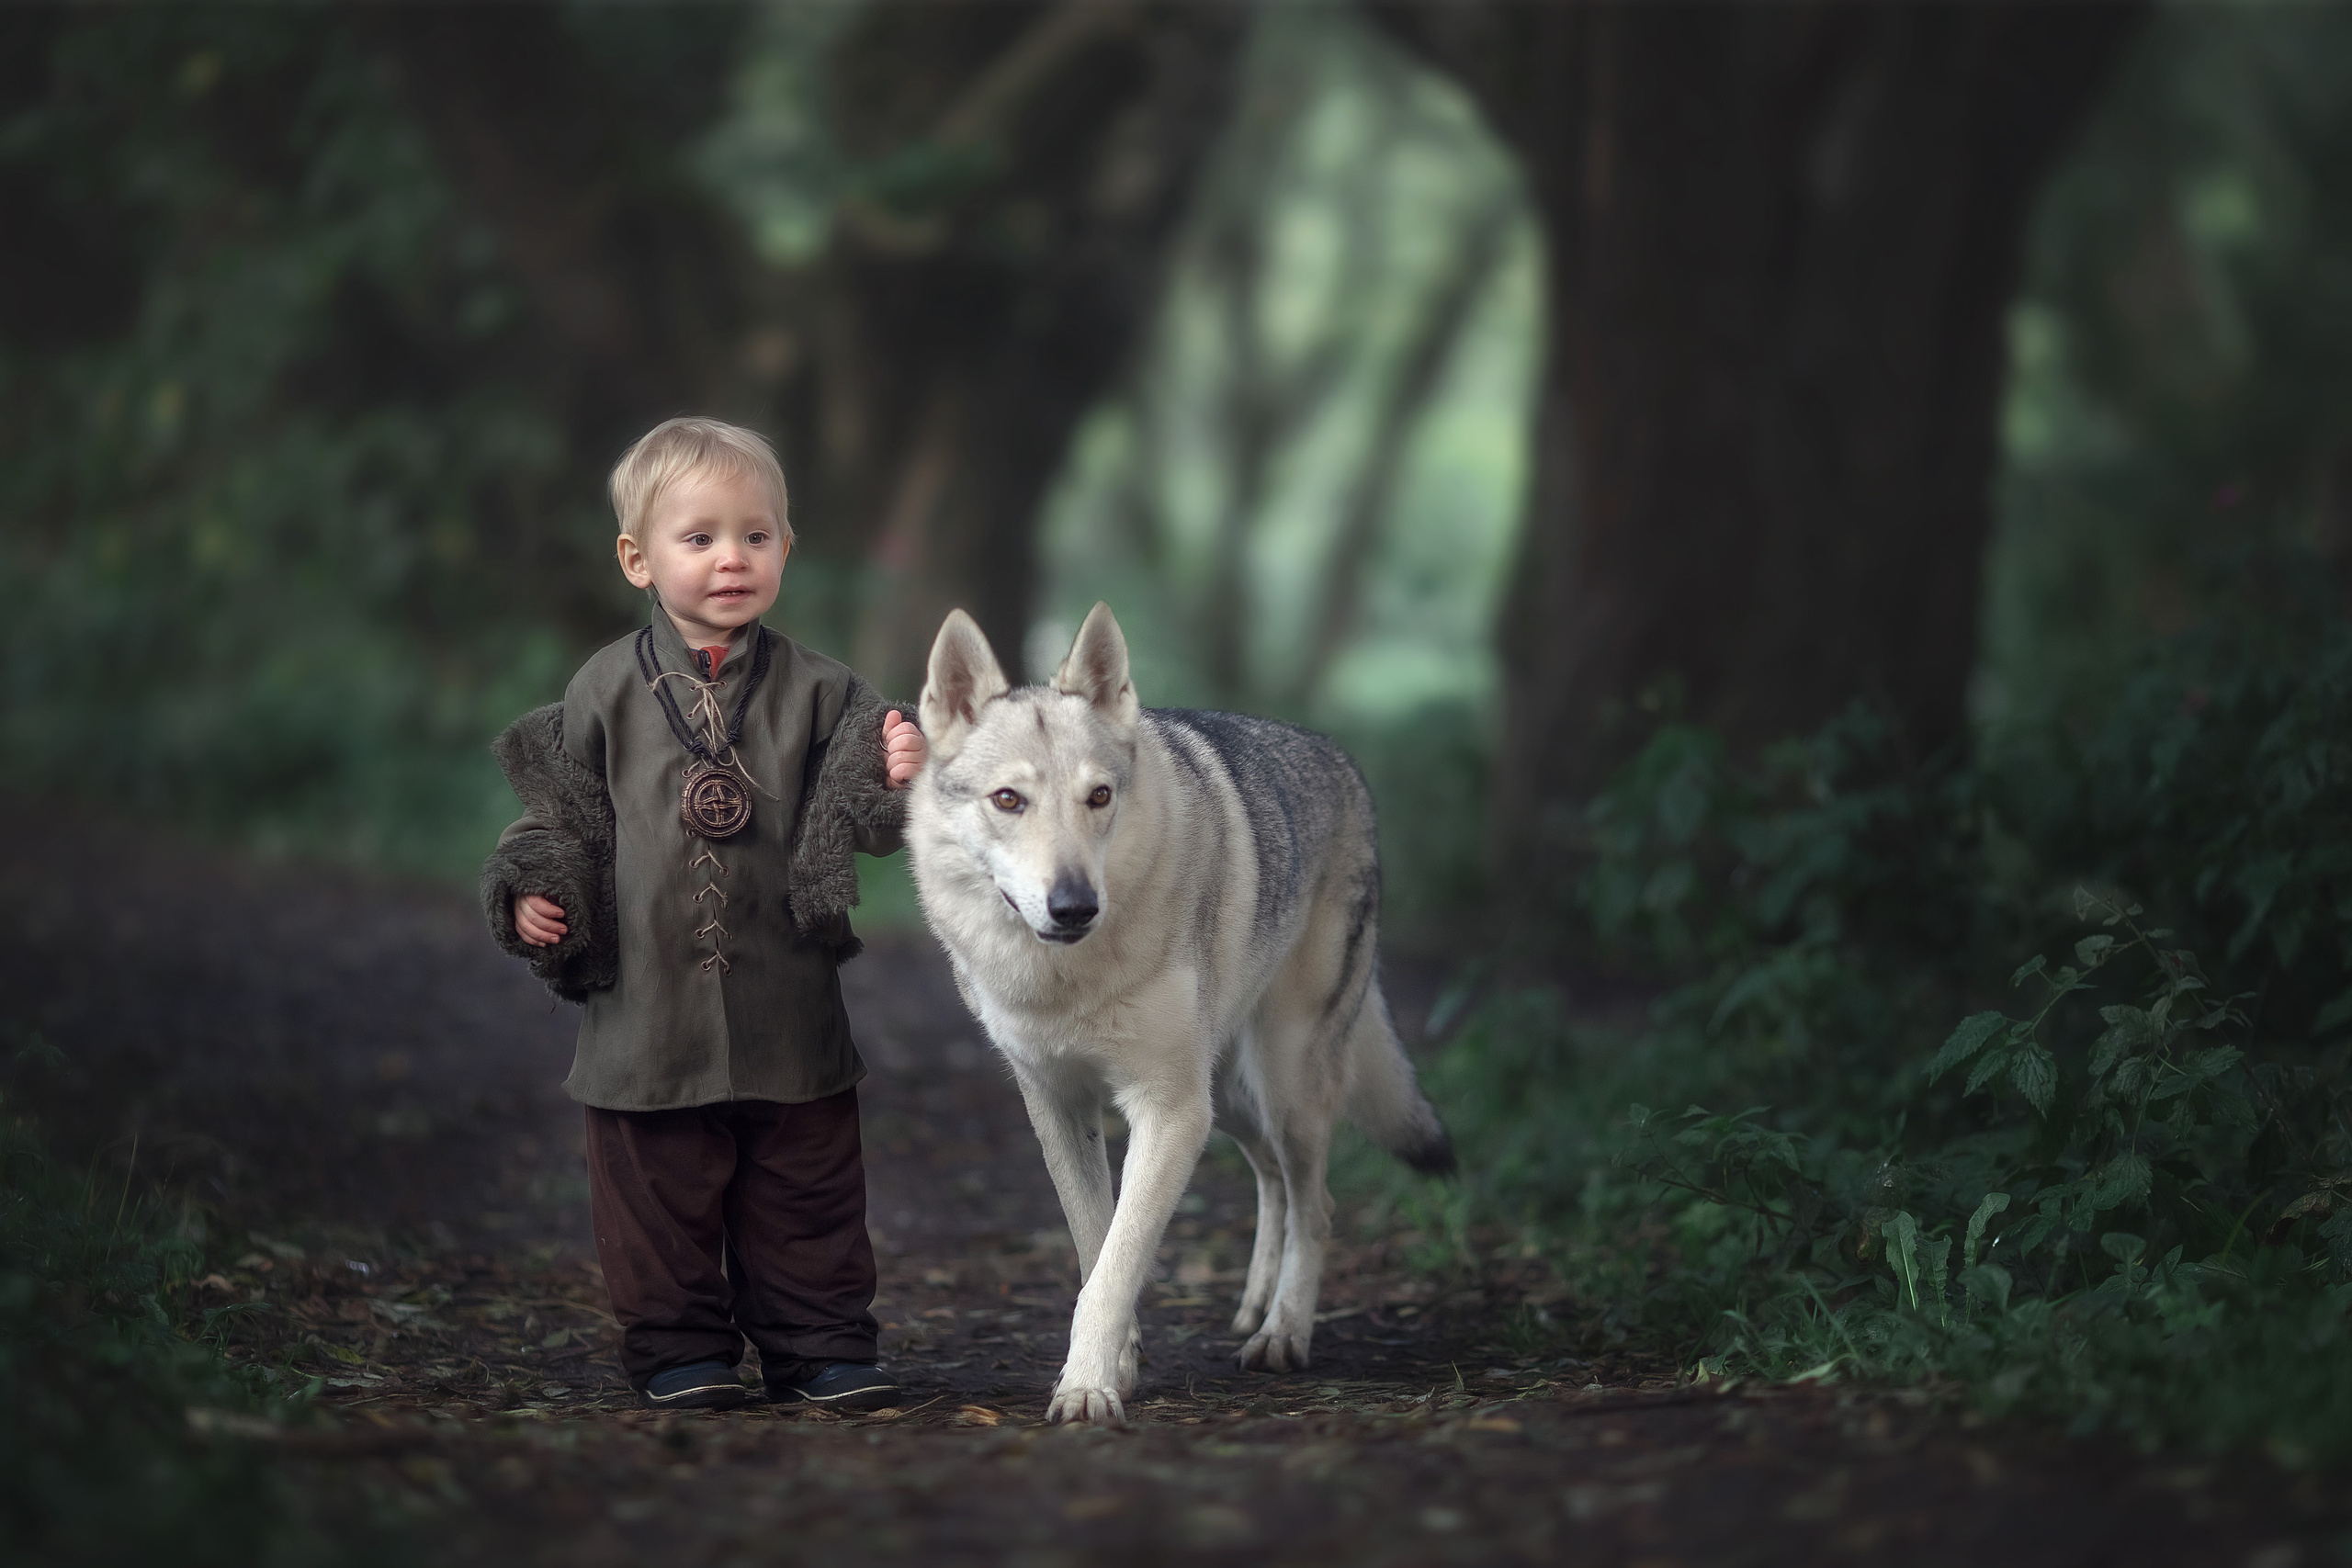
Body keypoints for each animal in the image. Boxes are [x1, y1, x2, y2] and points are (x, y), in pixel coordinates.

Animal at [906, 602, 1453, 1426]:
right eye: (1008, 800)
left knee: (1317, 1203)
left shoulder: (1166, 1109)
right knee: (1272, 1178)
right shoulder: (1060, 1105)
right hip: (1227, 1101)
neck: (1065, 980)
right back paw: (1253, 1303)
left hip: (1281, 1085)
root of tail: (1341, 759)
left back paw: (1282, 1332)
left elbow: (1117, 1258)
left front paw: (1088, 1385)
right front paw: (1120, 1362)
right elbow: (1096, 1240)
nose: (1075, 905)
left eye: (1100, 797)